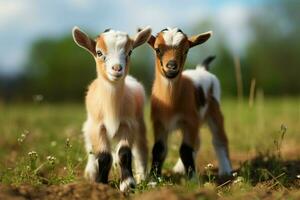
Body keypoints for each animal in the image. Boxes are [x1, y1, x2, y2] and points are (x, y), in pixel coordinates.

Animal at [72, 25, 152, 191]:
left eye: (130, 51)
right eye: (99, 52)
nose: (117, 68)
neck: (111, 107)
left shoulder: (127, 124)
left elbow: (124, 153)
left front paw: (128, 184)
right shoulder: (98, 127)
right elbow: (103, 156)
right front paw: (101, 184)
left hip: (139, 122)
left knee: (141, 148)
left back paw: (142, 177)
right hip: (88, 126)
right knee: (91, 148)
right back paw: (91, 172)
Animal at [148, 27, 232, 177]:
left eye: (186, 50)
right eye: (157, 49)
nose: (171, 66)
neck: (170, 103)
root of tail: (202, 69)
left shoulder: (190, 121)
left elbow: (185, 150)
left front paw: (192, 178)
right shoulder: (159, 122)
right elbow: (158, 149)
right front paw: (153, 178)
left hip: (214, 110)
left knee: (219, 139)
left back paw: (225, 171)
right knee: (197, 142)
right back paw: (178, 169)